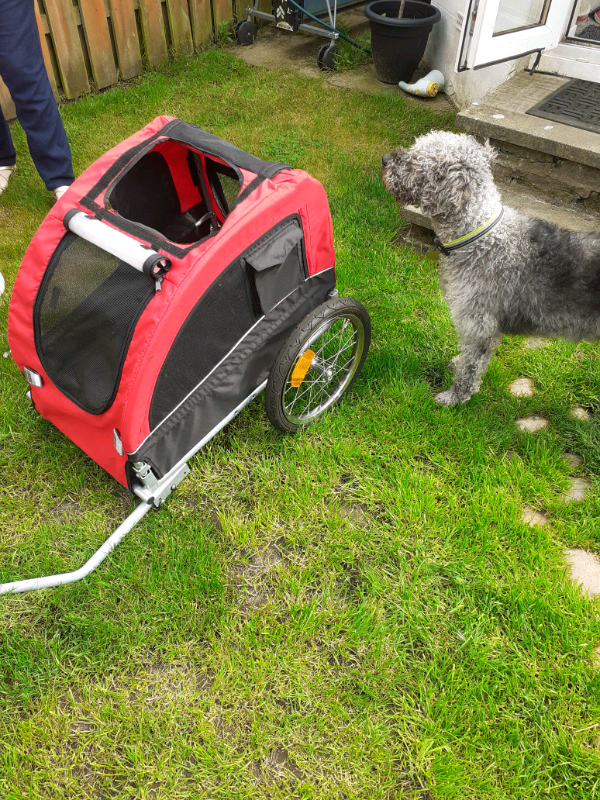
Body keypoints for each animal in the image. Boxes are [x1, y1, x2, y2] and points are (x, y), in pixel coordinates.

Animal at [382, 130, 600, 406]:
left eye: (418, 158)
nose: (384, 159)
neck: (479, 237)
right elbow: (467, 358)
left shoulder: (478, 325)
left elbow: (470, 368)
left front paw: (454, 397)